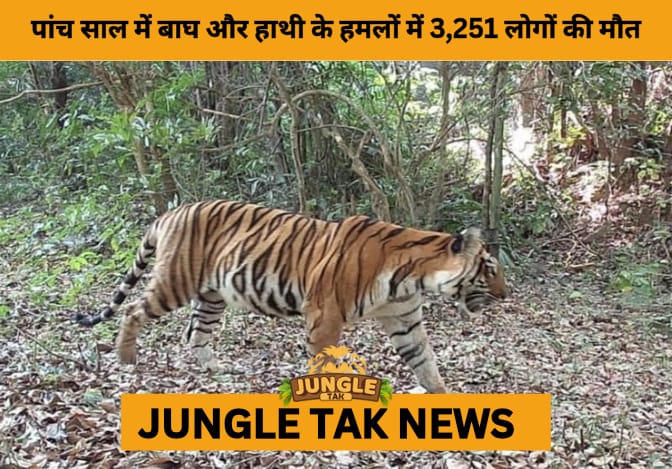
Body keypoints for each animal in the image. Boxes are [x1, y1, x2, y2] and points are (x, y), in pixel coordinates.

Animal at [75, 200, 507, 393]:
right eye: (490, 269)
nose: (507, 294)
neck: (413, 278)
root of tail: (172, 211)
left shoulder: (403, 318)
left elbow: (425, 361)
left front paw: (441, 396)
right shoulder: (325, 315)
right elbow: (324, 363)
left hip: (211, 295)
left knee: (195, 334)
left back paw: (217, 371)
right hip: (174, 281)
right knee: (133, 310)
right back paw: (126, 359)